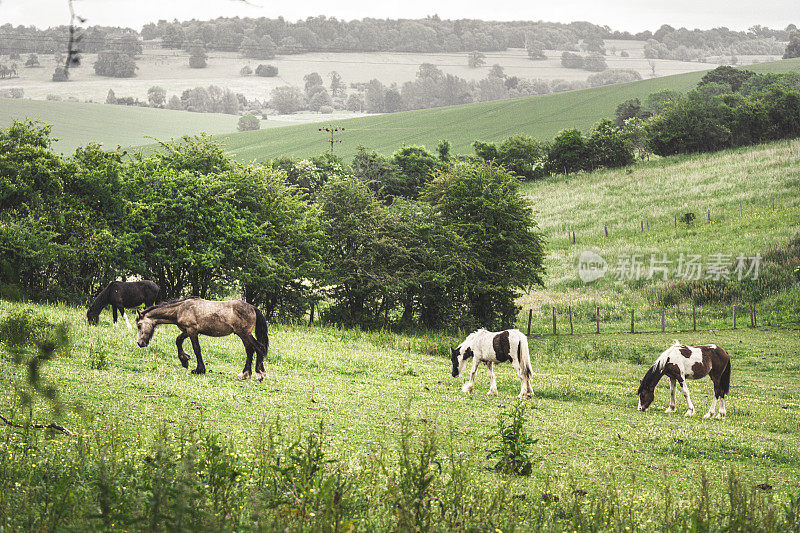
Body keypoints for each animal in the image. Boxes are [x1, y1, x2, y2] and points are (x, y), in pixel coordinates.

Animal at [133, 296, 268, 378]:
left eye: (139, 326)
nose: (140, 343)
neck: (180, 309)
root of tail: (253, 307)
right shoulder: (186, 331)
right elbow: (178, 341)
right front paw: (184, 360)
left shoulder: (192, 330)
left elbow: (196, 349)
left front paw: (199, 369)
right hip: (243, 335)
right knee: (250, 351)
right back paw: (245, 374)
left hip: (244, 334)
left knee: (259, 348)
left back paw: (260, 373)